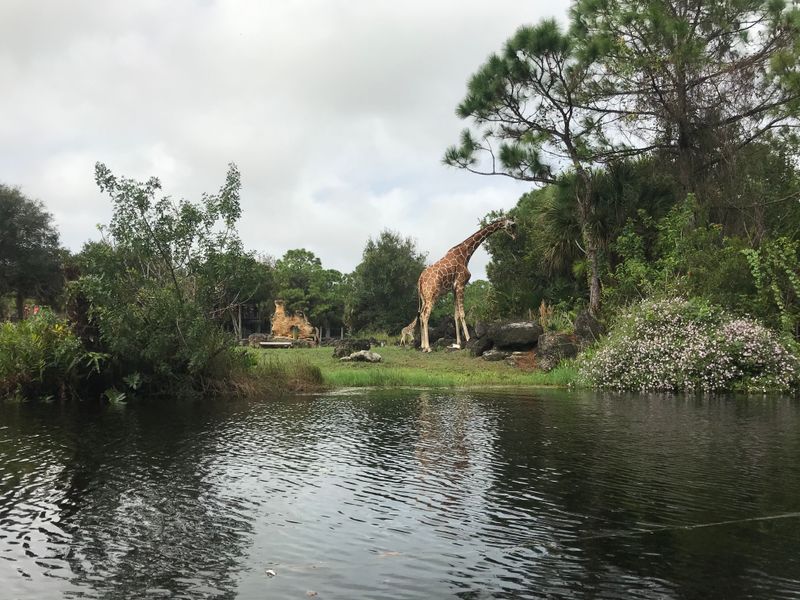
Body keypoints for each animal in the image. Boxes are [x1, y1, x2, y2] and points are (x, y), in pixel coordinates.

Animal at [417, 217, 516, 352]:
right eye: (512, 225)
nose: (515, 236)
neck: (465, 254)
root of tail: (420, 279)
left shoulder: (454, 288)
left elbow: (456, 314)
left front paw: (458, 342)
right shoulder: (461, 284)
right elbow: (463, 314)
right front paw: (468, 339)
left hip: (424, 297)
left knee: (421, 315)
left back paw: (422, 345)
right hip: (431, 295)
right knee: (425, 315)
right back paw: (428, 347)